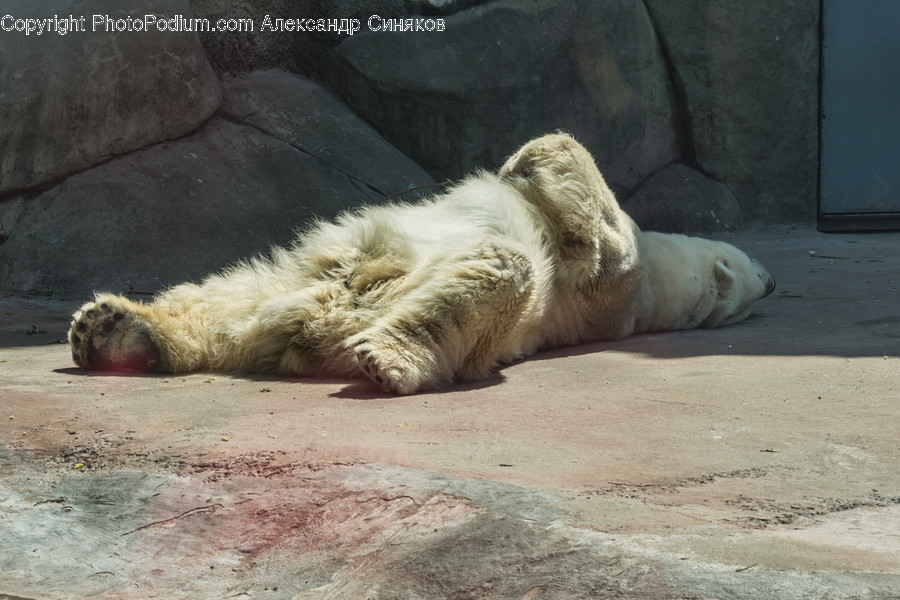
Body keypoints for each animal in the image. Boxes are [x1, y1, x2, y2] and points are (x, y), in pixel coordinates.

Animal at [68, 133, 775, 394]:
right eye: (753, 272)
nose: (772, 280)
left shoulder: (613, 285)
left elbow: (596, 237)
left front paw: (527, 156)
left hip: (411, 303)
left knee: (495, 272)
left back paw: (392, 358)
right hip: (294, 277)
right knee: (224, 296)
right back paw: (113, 329)